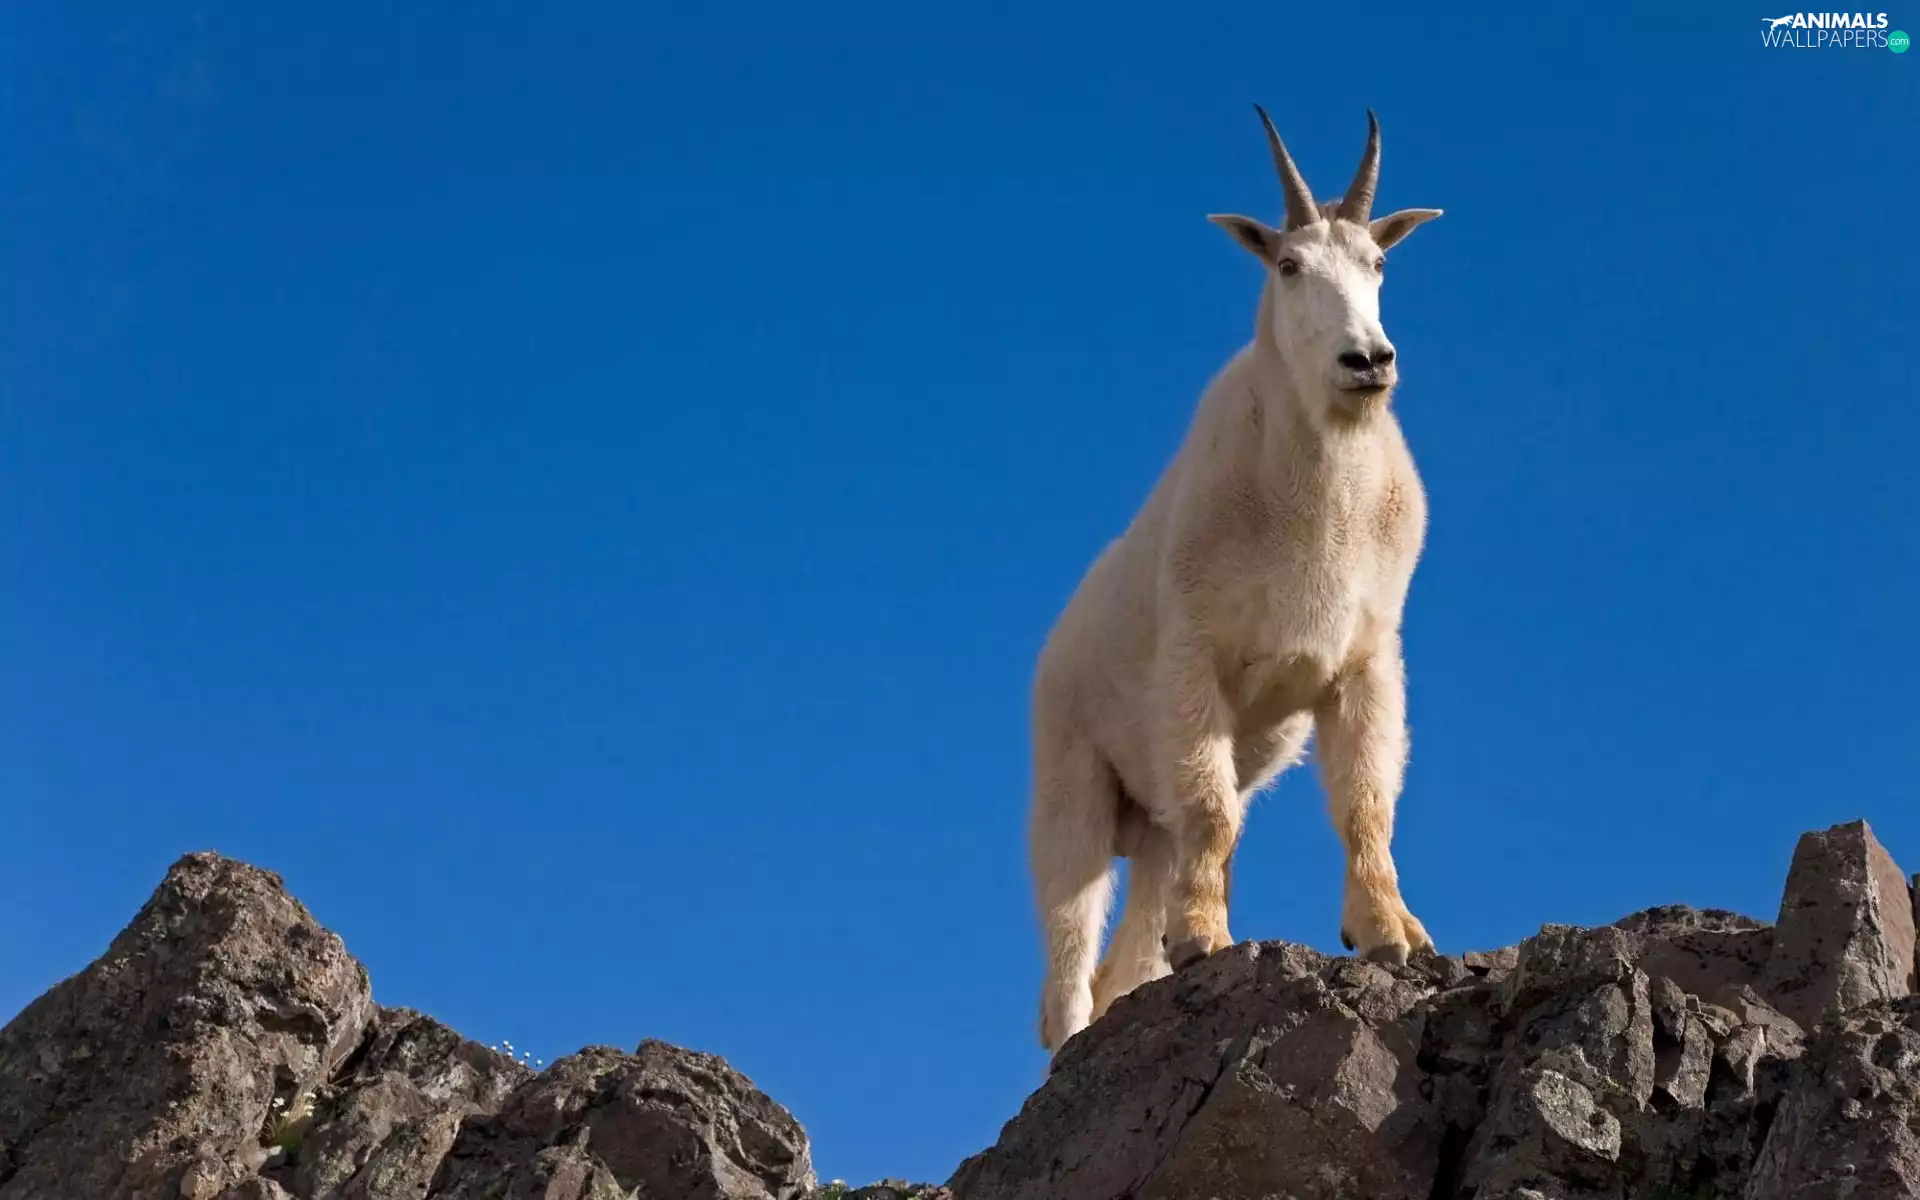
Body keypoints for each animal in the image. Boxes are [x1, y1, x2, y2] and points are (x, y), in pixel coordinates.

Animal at [1029, 105, 1445, 1056]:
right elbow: (1217, 813)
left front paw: (1392, 934)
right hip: (1070, 785)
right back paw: (1072, 1045)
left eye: (1378, 265)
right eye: (1289, 266)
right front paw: (1210, 942)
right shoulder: (1196, 658)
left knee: (1127, 947)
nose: (1368, 361)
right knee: (1068, 956)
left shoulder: (1367, 664)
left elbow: (1366, 803)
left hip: (1148, 827)